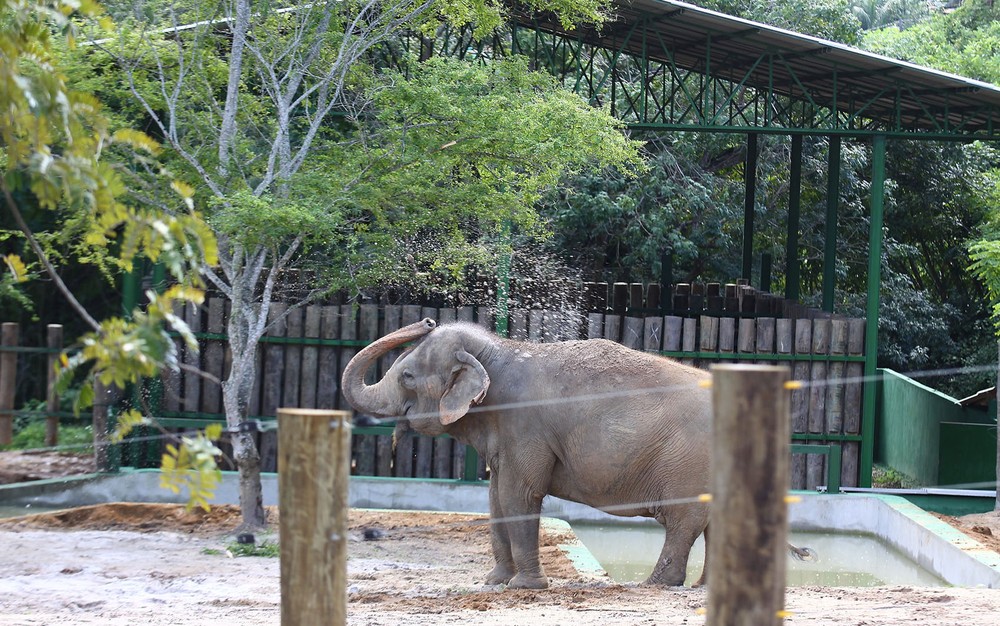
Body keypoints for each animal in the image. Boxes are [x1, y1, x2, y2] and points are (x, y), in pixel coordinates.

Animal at [342, 316, 712, 588]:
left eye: (407, 376)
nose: (428, 320)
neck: (498, 350)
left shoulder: (525, 427)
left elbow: (517, 495)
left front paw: (524, 586)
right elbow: (495, 497)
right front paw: (494, 582)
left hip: (687, 463)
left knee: (683, 521)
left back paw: (656, 584)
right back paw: (700, 586)